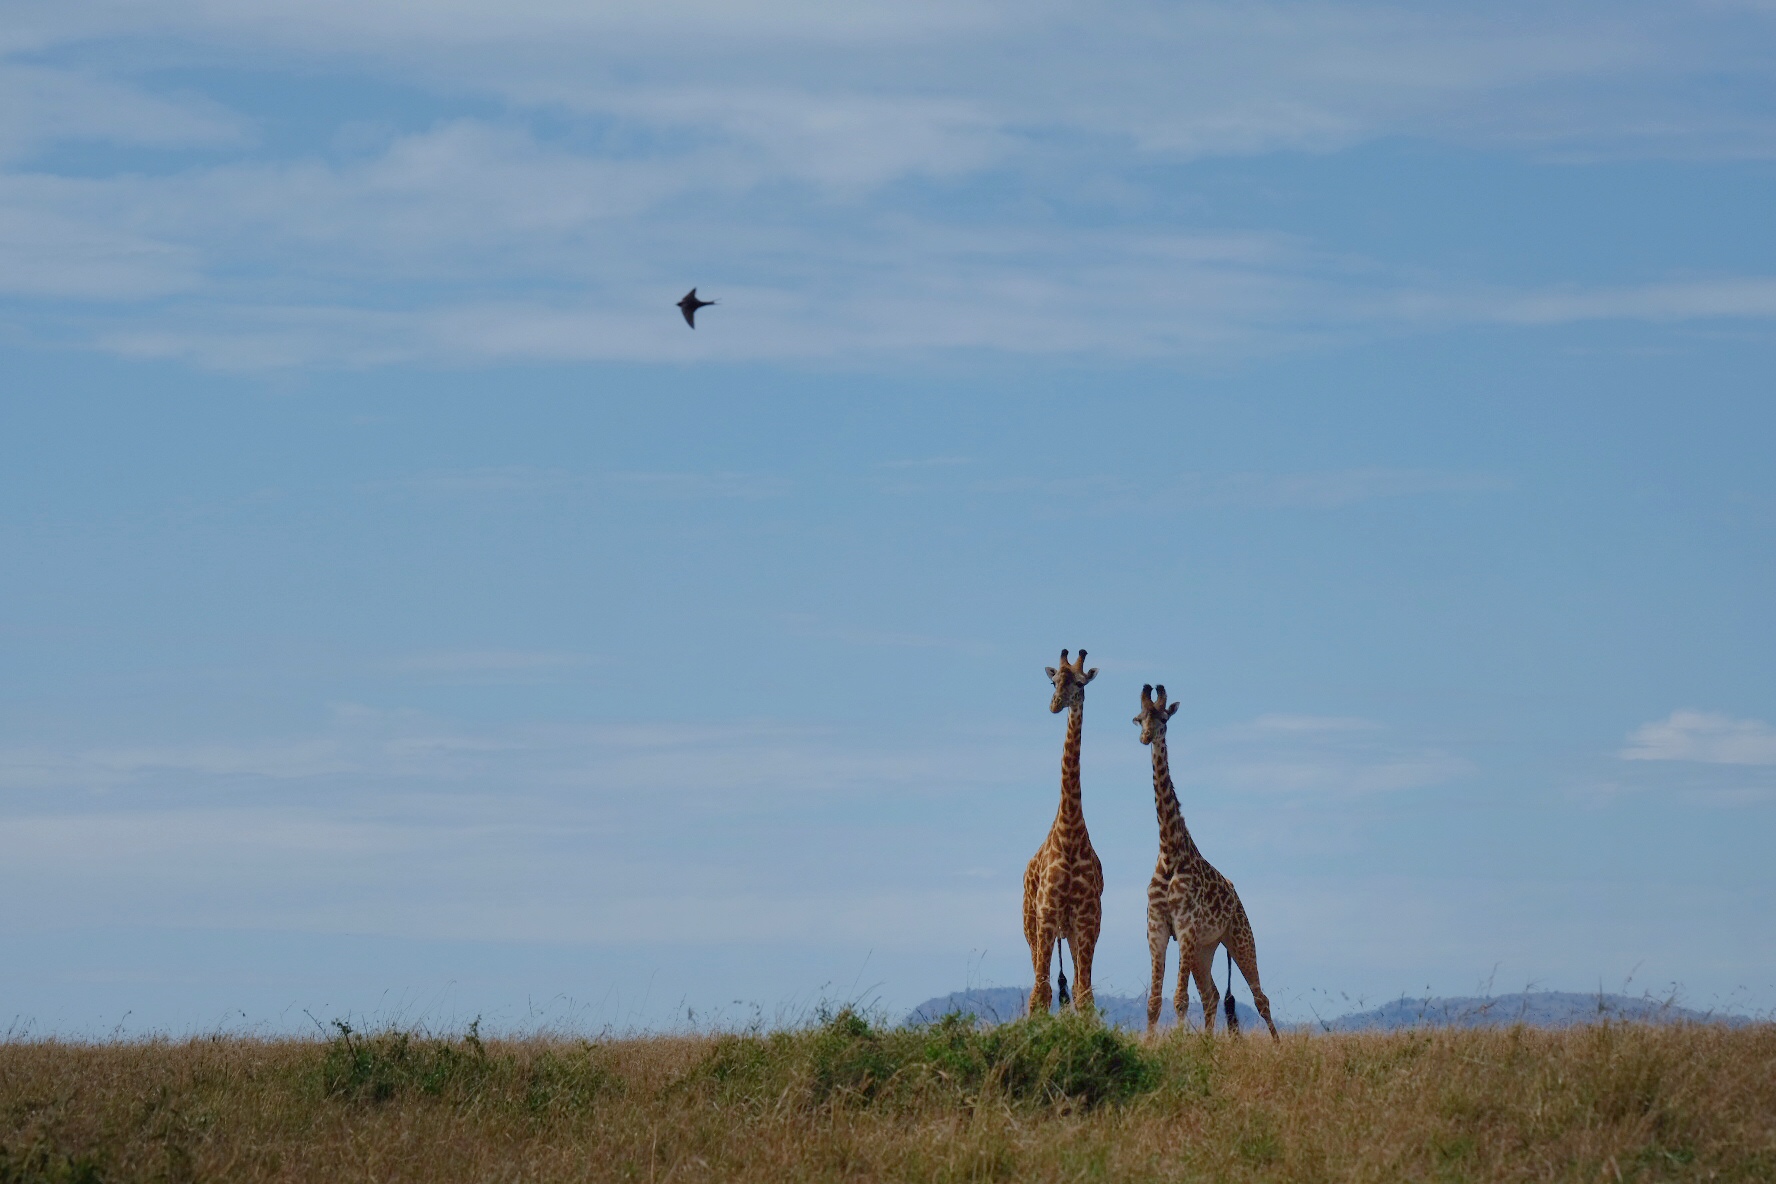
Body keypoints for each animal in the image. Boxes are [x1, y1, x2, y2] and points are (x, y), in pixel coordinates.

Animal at [1136, 685, 1278, 1036]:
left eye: (1163, 719)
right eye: (1139, 718)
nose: (1146, 737)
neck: (1169, 851)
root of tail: (1236, 894)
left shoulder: (1185, 926)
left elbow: (1179, 999)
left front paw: (1176, 1041)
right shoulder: (1157, 926)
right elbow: (1154, 1001)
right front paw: (1151, 1044)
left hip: (1239, 935)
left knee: (1260, 998)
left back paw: (1278, 1043)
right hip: (1205, 948)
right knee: (1211, 994)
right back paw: (1211, 1041)